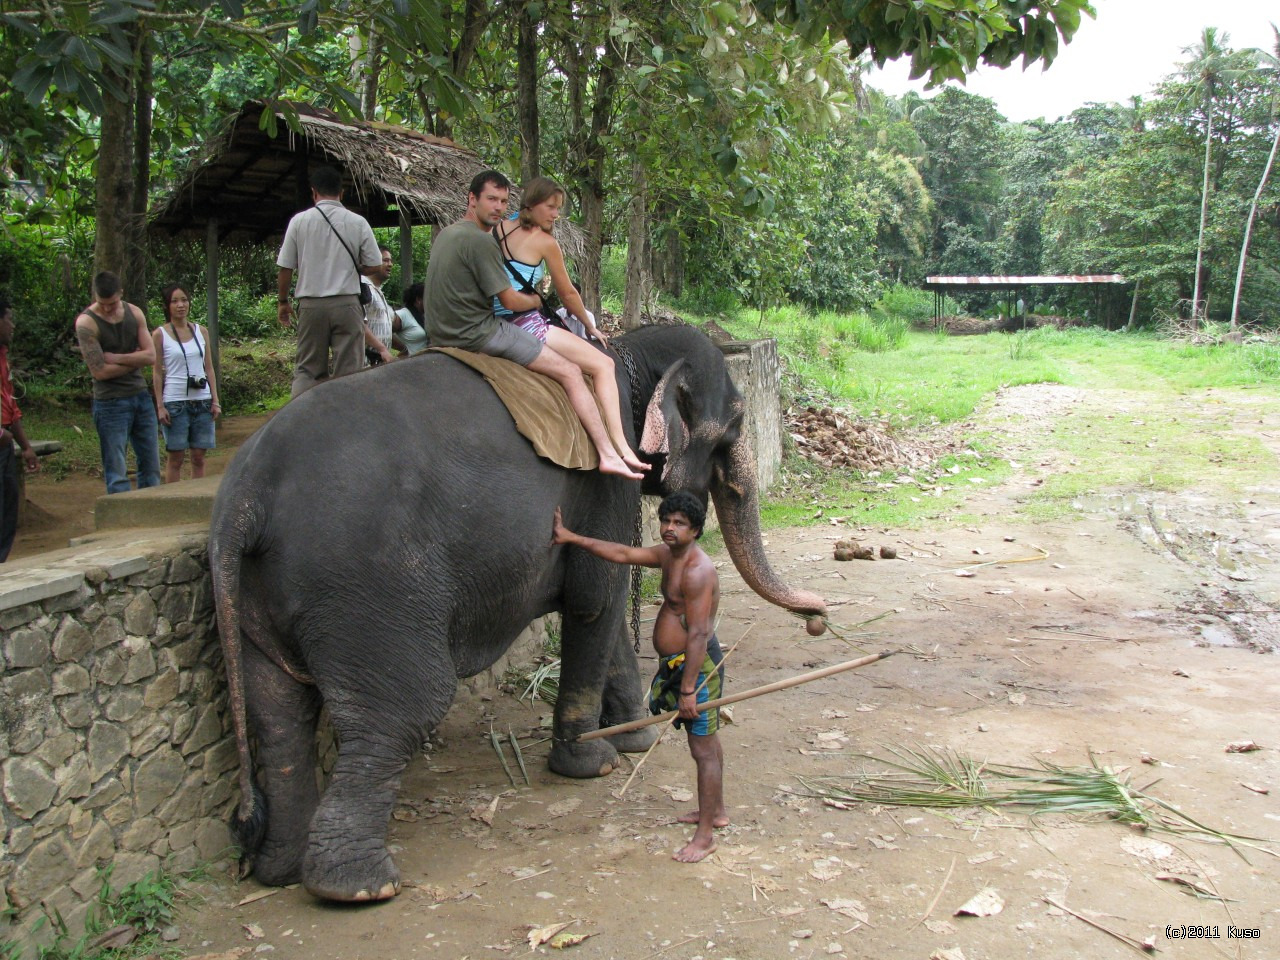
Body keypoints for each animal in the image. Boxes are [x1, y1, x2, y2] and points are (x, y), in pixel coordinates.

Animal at [207, 323, 829, 901]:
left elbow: (602, 605)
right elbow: (595, 602)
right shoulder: (608, 477)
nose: (818, 619)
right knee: (404, 707)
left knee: (277, 715)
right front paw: (595, 764)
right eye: (737, 425)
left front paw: (634, 740)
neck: (626, 350)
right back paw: (358, 888)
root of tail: (244, 498)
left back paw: (280, 872)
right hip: (365, 585)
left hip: (261, 597)